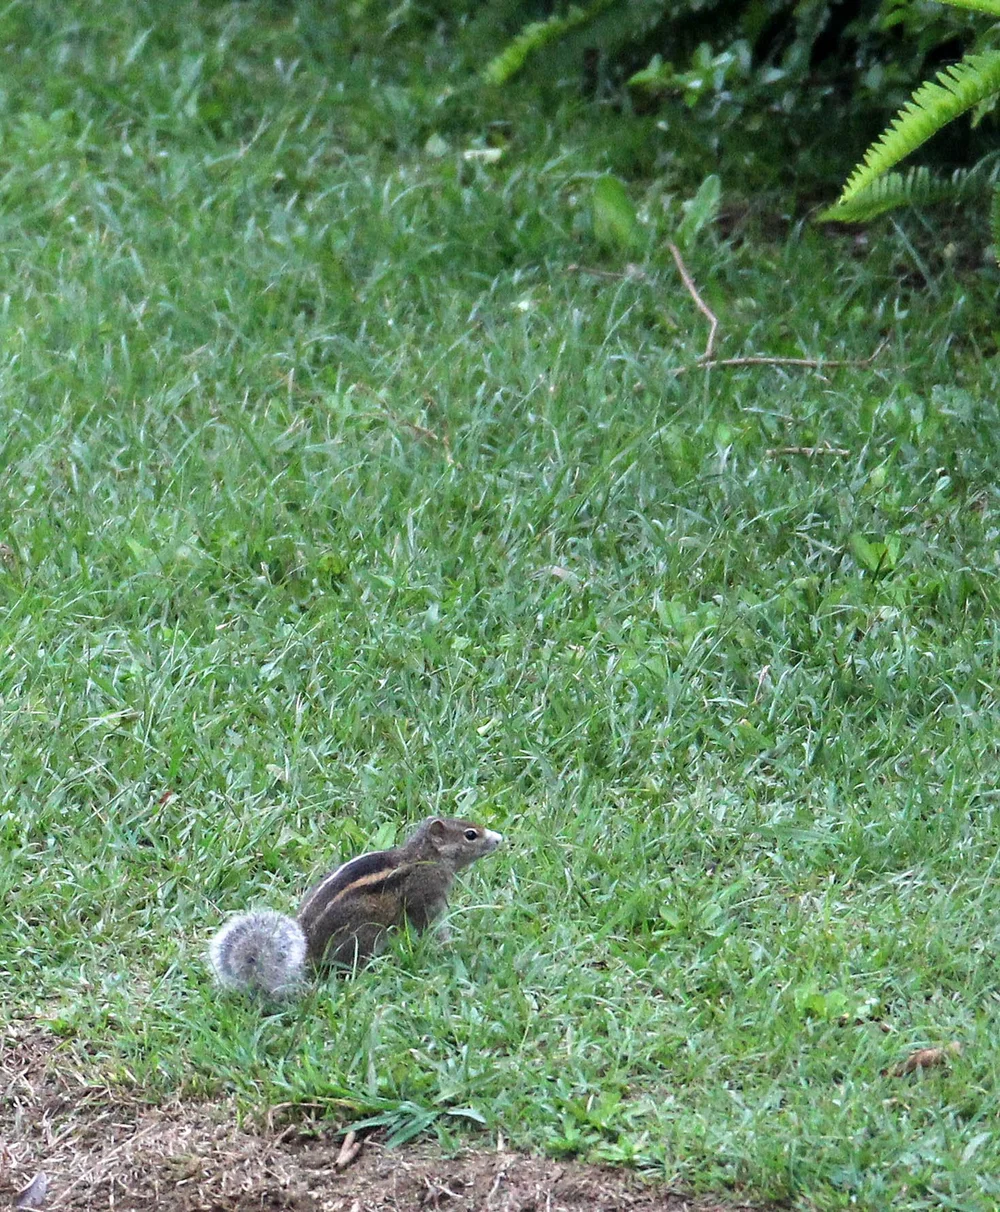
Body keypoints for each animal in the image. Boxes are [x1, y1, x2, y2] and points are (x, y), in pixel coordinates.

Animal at [207, 816, 503, 998]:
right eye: (470, 835)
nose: (499, 838)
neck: (422, 858)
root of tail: (307, 951)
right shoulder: (427, 898)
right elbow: (432, 926)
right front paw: (448, 946)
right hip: (366, 933)